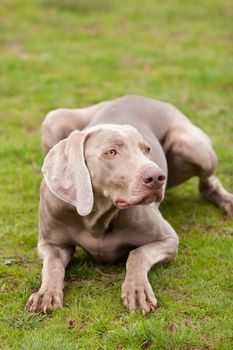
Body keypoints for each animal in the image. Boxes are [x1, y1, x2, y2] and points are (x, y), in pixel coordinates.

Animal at [26, 94, 233, 314]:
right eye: (111, 152)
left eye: (146, 149)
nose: (158, 177)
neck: (96, 217)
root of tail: (139, 96)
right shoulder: (51, 244)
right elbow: (53, 264)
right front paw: (45, 293)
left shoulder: (168, 239)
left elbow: (137, 254)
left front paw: (137, 290)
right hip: (53, 119)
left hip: (195, 149)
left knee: (207, 181)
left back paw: (226, 201)